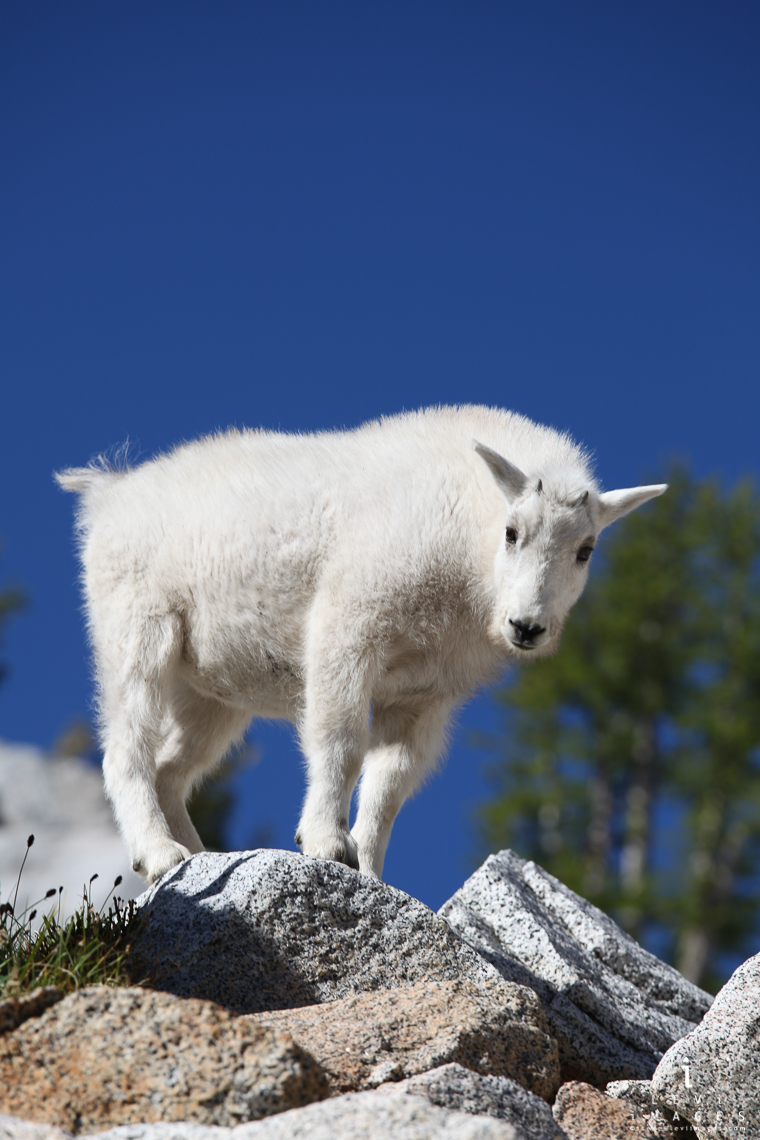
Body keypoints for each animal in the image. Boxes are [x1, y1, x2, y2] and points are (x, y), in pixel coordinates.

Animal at [58, 405, 665, 884]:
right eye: (513, 532)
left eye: (586, 549)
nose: (527, 627)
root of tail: (109, 496)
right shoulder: (349, 630)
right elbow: (342, 742)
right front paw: (326, 843)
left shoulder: (424, 695)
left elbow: (388, 788)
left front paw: (370, 873)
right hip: (137, 629)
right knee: (125, 749)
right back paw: (160, 854)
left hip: (211, 694)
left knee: (171, 769)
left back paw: (197, 856)